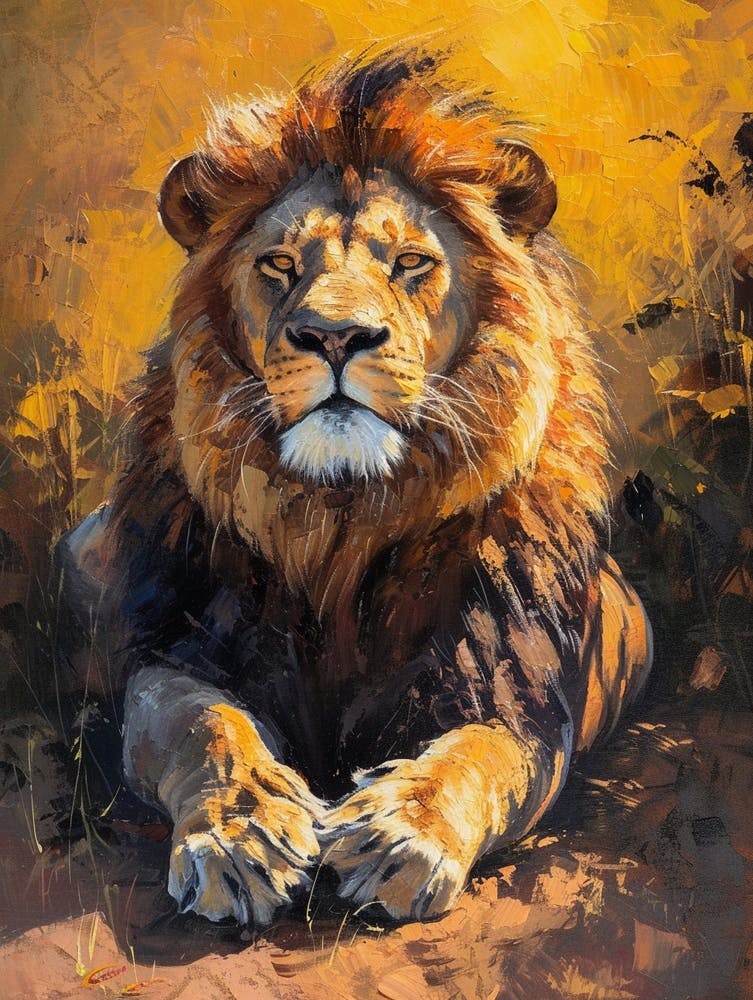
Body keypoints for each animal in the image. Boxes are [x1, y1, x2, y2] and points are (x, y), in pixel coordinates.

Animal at [58, 49, 652, 926]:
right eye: (278, 265)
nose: (334, 336)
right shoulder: (177, 647)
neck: (341, 519)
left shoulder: (516, 689)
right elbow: (202, 725)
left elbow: (480, 756)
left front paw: (399, 835)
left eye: (409, 263)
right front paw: (239, 837)